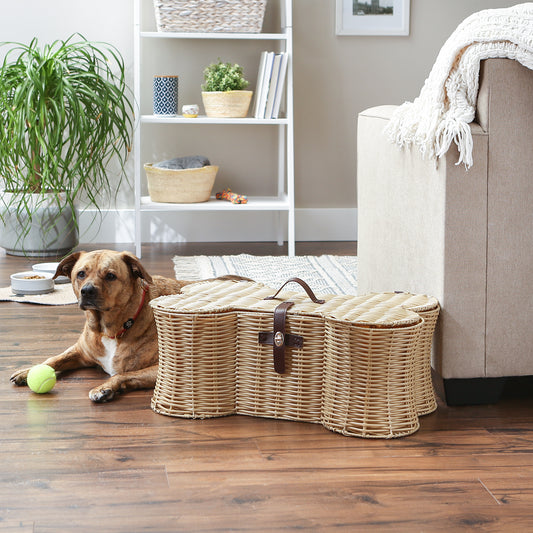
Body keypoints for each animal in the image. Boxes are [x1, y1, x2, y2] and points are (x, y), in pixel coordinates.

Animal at [9, 251, 238, 402]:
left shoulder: (163, 369)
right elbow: (53, 359)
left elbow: (122, 374)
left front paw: (105, 388)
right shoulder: (81, 351)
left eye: (110, 275)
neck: (110, 329)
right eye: (81, 274)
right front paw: (28, 370)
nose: (87, 291)